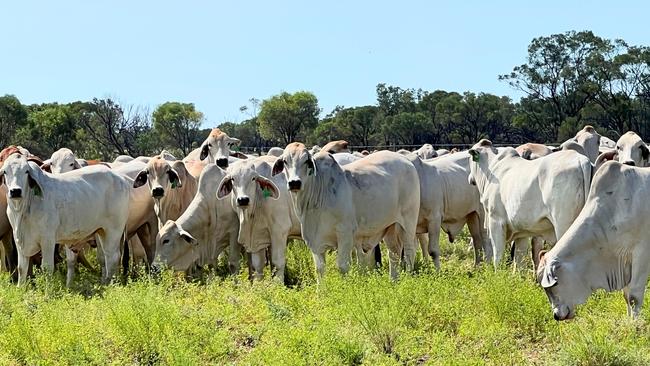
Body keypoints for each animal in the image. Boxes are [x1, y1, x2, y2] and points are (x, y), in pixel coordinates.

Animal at [0, 153, 132, 284]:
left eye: (26, 171)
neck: (23, 209)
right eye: (5, 171)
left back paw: (109, 284)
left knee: (112, 257)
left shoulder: (48, 240)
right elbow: (22, 268)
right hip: (100, 231)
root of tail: (120, 178)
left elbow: (47, 268)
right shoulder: (19, 240)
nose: (15, 191)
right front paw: (21, 287)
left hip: (113, 230)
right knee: (105, 257)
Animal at [270, 143, 418, 280]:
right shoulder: (314, 240)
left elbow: (342, 267)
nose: (294, 182)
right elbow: (319, 270)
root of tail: (406, 161)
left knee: (409, 252)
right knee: (394, 253)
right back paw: (393, 281)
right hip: (390, 226)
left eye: (306, 161)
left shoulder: (345, 233)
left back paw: (407, 279)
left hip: (408, 224)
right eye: (285, 161)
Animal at [466, 140, 592, 268]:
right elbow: (519, 260)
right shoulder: (522, 232)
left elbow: (498, 257)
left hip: (563, 224)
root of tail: (581, 160)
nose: (470, 179)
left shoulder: (495, 221)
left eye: (470, 158)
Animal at [536, 162, 650, 318]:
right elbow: (626, 296)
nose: (556, 316)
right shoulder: (625, 262)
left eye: (554, 286)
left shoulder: (641, 253)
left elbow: (634, 297)